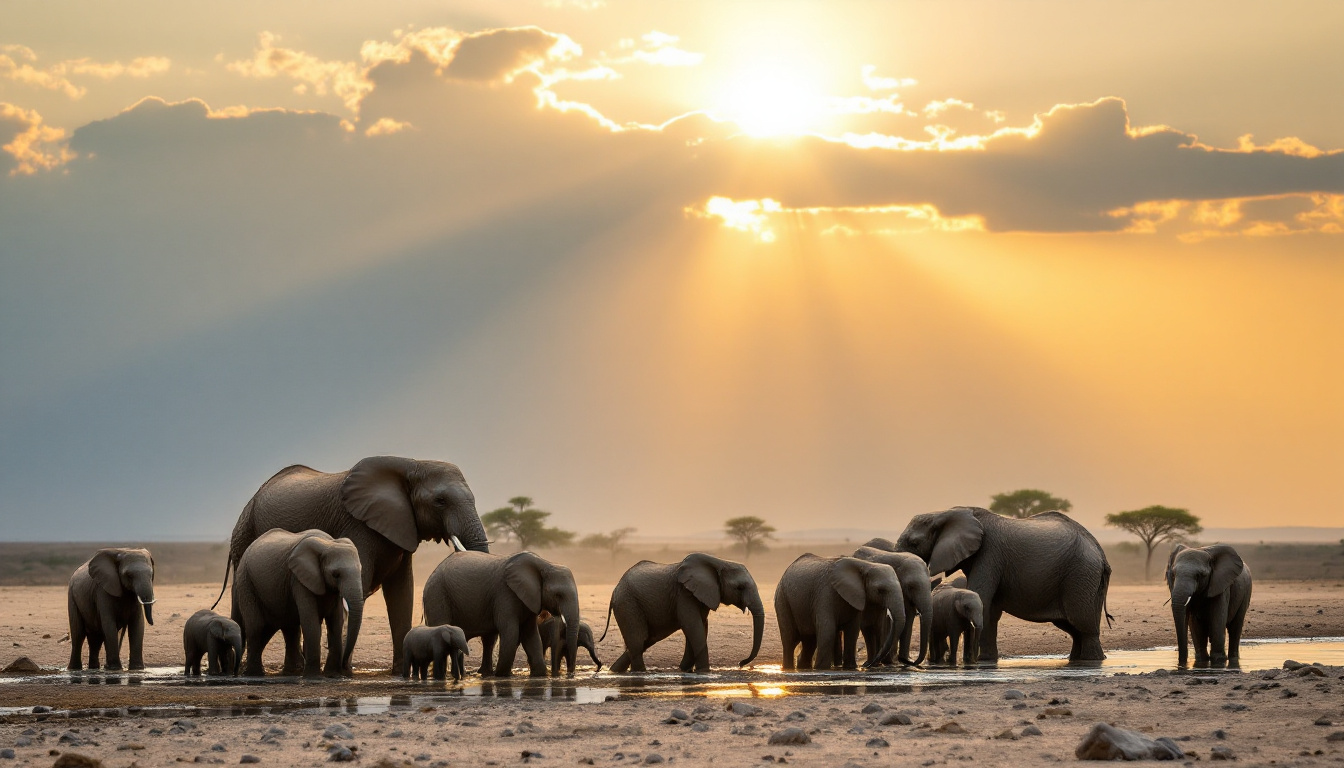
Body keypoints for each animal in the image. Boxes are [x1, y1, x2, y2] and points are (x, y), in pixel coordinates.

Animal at [231, 532, 365, 675]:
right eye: (336, 574)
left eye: (361, 571)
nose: (345, 666)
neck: (328, 543)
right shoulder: (299, 580)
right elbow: (310, 622)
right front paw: (313, 677)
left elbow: (336, 623)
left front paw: (332, 675)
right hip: (246, 581)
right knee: (257, 627)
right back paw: (254, 674)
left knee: (282, 627)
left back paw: (289, 672)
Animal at [422, 554, 580, 677]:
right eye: (558, 595)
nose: (570, 673)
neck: (544, 563)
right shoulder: (505, 594)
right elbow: (510, 632)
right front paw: (502, 675)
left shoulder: (529, 599)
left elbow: (531, 635)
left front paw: (539, 675)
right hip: (437, 594)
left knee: (488, 639)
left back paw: (482, 674)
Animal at [602, 554, 768, 672]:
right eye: (740, 587)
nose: (740, 663)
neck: (719, 562)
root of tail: (615, 589)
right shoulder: (684, 594)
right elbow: (693, 626)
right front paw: (704, 671)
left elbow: (700, 626)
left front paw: (685, 669)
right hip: (628, 604)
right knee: (638, 641)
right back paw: (640, 673)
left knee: (647, 640)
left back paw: (614, 672)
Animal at [892, 508, 1112, 664]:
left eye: (914, 543)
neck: (945, 512)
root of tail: (1101, 553)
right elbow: (989, 610)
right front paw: (986, 660)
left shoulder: (989, 553)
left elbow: (982, 596)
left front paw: (974, 661)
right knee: (1074, 628)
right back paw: (1078, 660)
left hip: (1081, 575)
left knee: (1082, 625)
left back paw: (1091, 662)